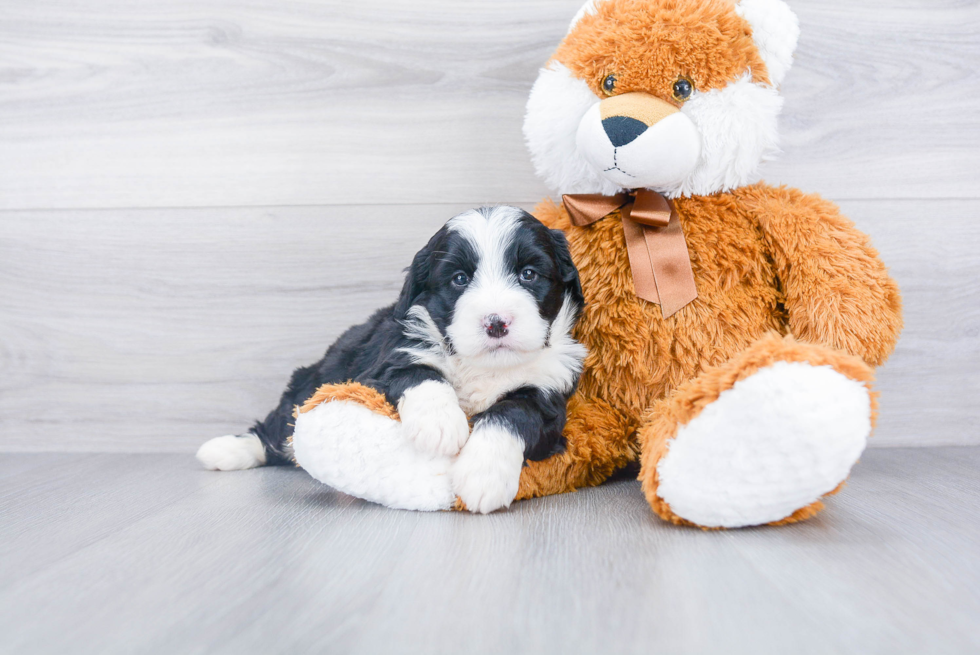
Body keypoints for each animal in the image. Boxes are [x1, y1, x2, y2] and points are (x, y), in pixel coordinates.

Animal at [195, 205, 584, 512]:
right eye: (459, 279)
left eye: (528, 274)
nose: (496, 322)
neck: (481, 366)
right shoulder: (386, 362)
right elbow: (419, 373)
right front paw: (439, 425)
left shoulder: (548, 393)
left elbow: (512, 413)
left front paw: (483, 475)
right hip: (310, 381)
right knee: (276, 429)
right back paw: (225, 450)